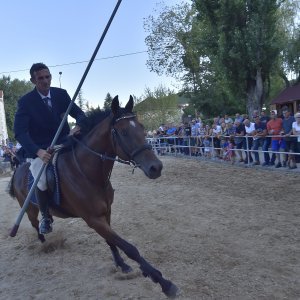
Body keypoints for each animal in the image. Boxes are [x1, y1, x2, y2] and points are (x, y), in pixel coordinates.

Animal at [8, 95, 178, 298]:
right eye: (124, 132)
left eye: (142, 128)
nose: (156, 167)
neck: (86, 173)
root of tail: (18, 169)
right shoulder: (93, 219)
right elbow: (130, 248)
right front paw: (163, 282)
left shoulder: (106, 213)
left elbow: (112, 241)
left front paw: (122, 265)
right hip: (29, 208)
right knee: (35, 224)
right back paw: (44, 242)